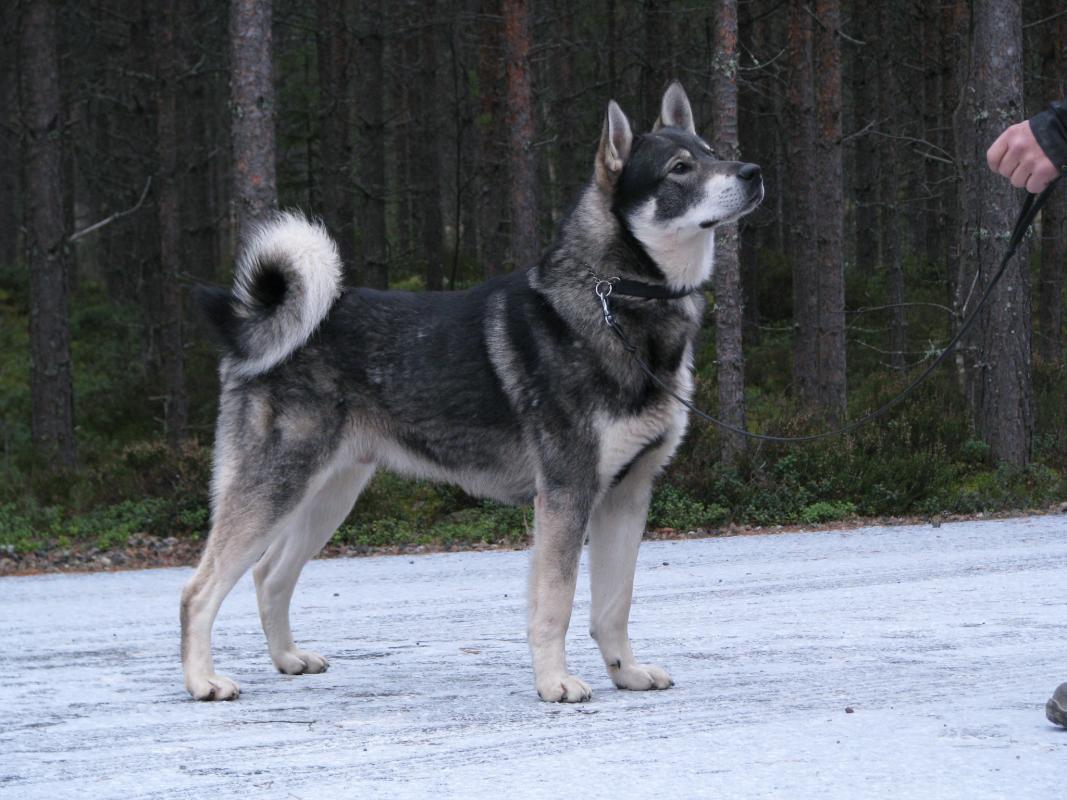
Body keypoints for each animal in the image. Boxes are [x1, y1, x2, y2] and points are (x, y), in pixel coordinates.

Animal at [181, 81, 763, 702]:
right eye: (680, 168)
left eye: (712, 151)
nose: (754, 171)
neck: (617, 302)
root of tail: (257, 325)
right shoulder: (566, 494)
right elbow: (555, 601)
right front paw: (554, 682)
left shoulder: (627, 496)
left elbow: (614, 603)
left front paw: (625, 672)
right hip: (277, 488)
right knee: (200, 590)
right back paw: (202, 681)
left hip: (328, 494)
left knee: (269, 574)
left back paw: (288, 658)